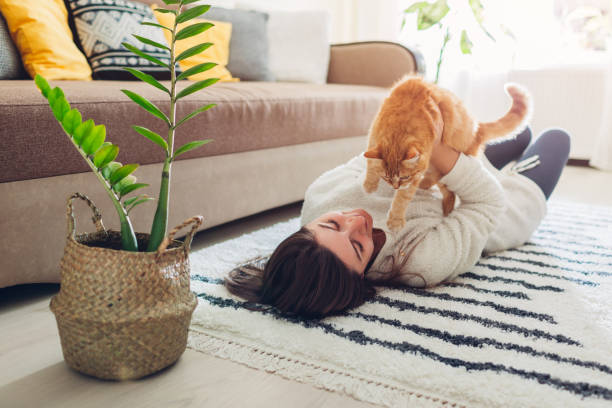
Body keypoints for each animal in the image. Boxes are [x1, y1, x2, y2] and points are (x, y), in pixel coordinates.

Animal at [364, 75, 532, 233]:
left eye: (405, 177)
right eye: (386, 177)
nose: (395, 186)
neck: (400, 124)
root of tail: (476, 130)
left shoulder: (414, 177)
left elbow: (402, 199)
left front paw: (395, 220)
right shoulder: (373, 137)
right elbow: (370, 164)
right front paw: (369, 185)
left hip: (444, 170)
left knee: (449, 192)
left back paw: (443, 206)